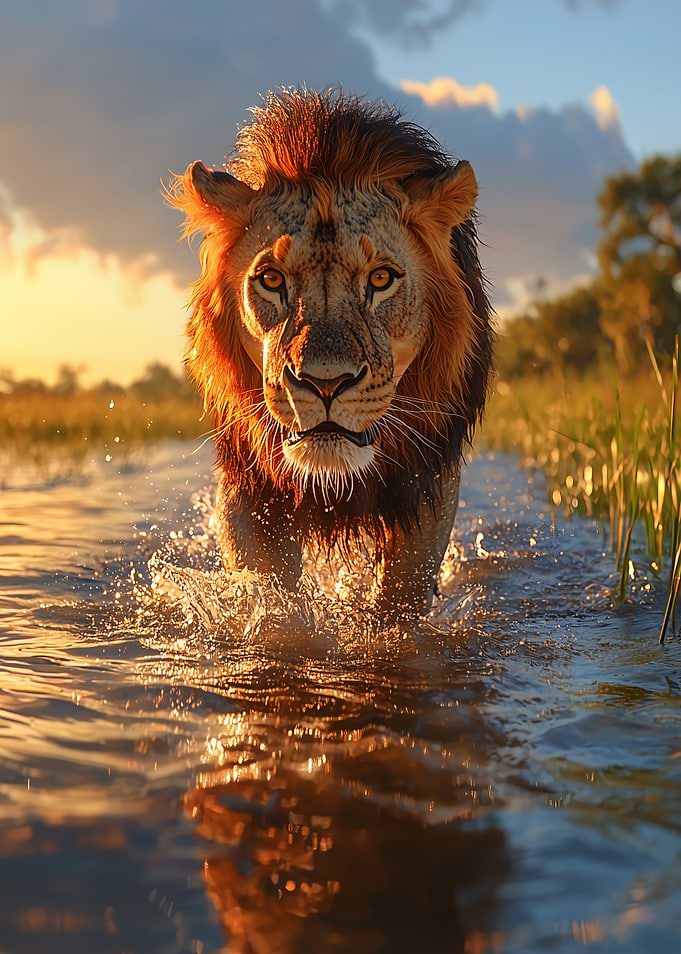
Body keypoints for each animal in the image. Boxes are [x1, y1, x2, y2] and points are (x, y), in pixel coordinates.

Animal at [169, 89, 493, 614]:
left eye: (380, 278)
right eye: (272, 279)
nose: (324, 383)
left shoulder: (426, 482)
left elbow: (400, 599)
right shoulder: (251, 489)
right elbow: (270, 594)